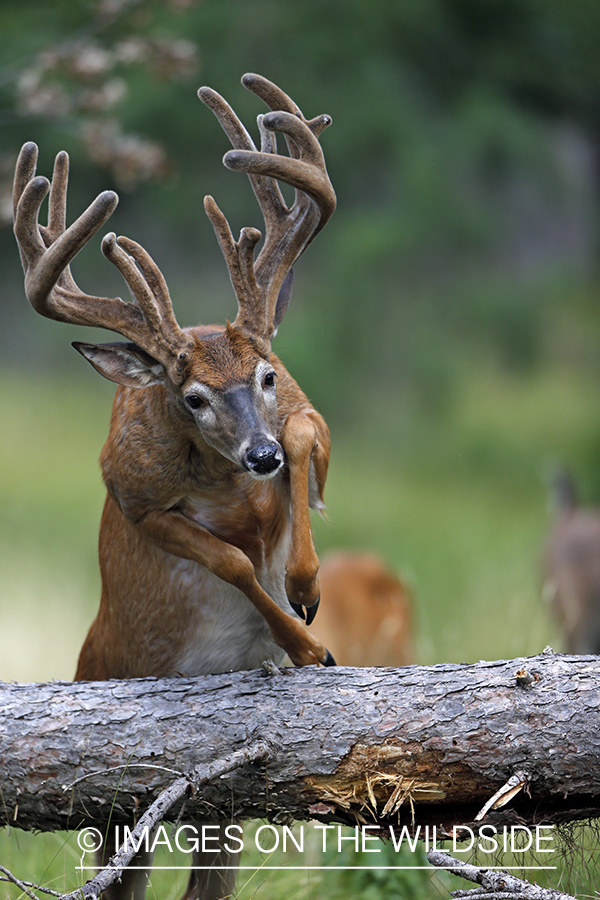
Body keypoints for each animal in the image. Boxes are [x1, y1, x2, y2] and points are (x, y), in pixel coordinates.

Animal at [12, 75, 338, 900]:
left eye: (266, 375)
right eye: (191, 397)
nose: (256, 454)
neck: (227, 486)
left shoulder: (301, 416)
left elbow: (304, 438)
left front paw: (305, 586)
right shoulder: (133, 497)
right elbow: (226, 558)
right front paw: (304, 644)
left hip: (218, 801)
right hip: (121, 796)